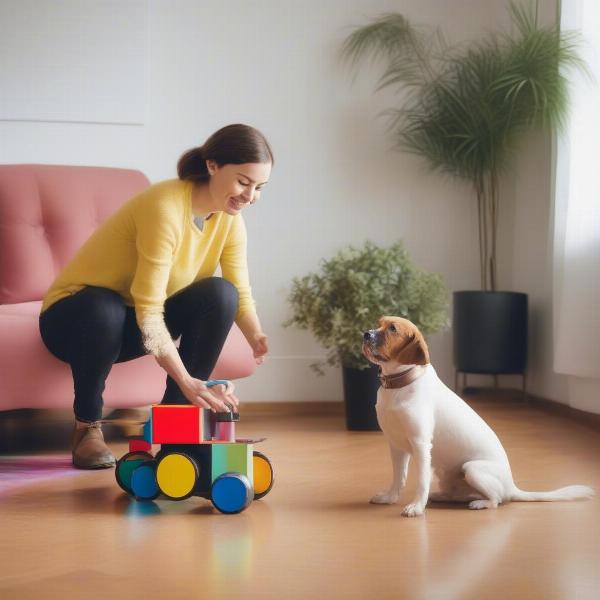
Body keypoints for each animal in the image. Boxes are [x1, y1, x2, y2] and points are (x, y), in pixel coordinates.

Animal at [360, 316, 596, 516]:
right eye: (378, 323)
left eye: (392, 329)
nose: (365, 334)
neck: (399, 385)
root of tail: (512, 487)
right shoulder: (396, 446)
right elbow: (398, 478)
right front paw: (389, 497)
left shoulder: (421, 444)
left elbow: (421, 481)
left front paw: (417, 507)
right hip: (449, 476)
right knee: (462, 495)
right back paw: (443, 496)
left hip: (472, 469)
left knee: (497, 500)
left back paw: (480, 503)